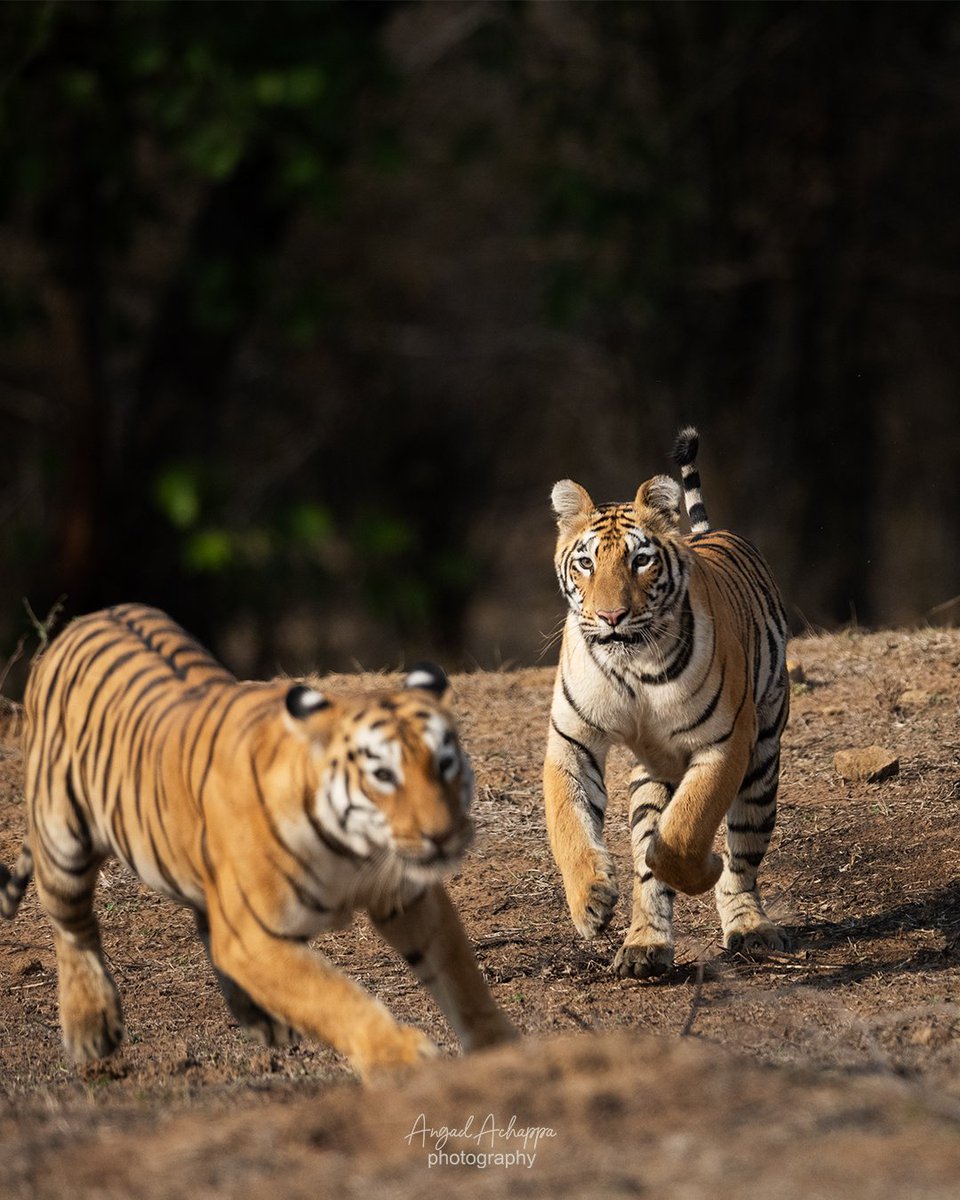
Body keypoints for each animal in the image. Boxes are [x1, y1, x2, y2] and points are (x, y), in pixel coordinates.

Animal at [0, 603, 516, 1077]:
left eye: (444, 764)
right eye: (384, 776)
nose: (443, 835)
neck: (354, 850)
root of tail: (87, 618)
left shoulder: (407, 897)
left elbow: (460, 976)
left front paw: (500, 1048)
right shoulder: (254, 937)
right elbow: (333, 996)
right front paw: (401, 1058)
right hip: (63, 839)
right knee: (73, 926)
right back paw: (91, 1028)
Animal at [544, 427, 791, 979]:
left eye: (641, 559)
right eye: (586, 562)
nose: (611, 616)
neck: (633, 667)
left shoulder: (725, 742)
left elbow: (686, 829)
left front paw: (700, 870)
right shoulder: (572, 739)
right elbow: (568, 822)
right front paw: (590, 902)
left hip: (763, 758)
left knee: (743, 854)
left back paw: (748, 926)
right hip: (651, 775)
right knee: (648, 854)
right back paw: (644, 945)